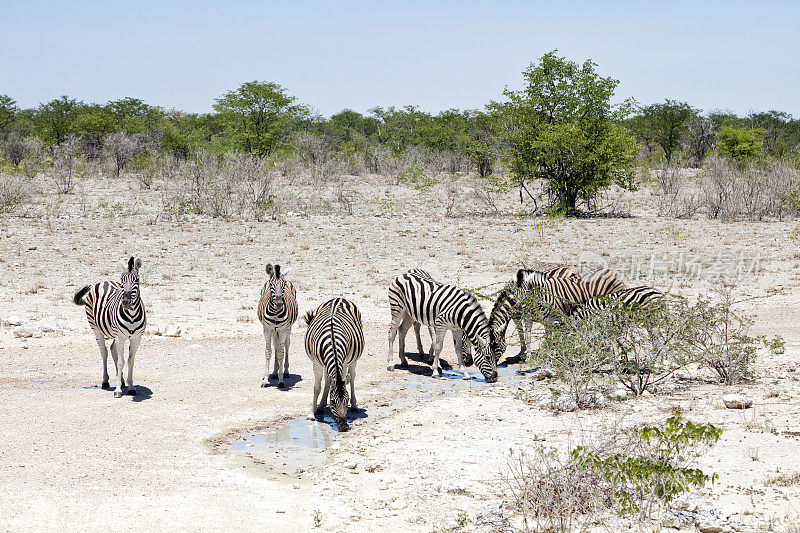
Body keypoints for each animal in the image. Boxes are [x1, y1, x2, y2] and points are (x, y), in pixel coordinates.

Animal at [72, 256, 147, 396]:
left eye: (137, 280)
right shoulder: (120, 337)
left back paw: (121, 380)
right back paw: (105, 381)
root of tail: (104, 281)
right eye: (122, 280)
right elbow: (121, 362)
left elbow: (130, 361)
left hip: (113, 333)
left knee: (112, 350)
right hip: (96, 329)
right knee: (104, 353)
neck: (132, 315)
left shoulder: (136, 338)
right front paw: (117, 390)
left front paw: (131, 386)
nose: (126, 302)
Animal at [304, 298, 366, 430]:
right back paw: (321, 406)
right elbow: (317, 388)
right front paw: (311, 414)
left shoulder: (343, 362)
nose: (344, 427)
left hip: (353, 359)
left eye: (346, 400)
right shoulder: (316, 363)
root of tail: (339, 298)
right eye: (332, 401)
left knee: (352, 378)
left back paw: (354, 406)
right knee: (328, 380)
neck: (332, 340)